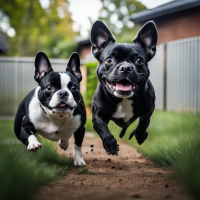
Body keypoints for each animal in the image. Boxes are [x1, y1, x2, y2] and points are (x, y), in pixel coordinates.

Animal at [90, 20, 158, 155]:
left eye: (139, 60)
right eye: (109, 60)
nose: (126, 67)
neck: (124, 99)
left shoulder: (149, 109)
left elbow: (143, 123)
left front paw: (140, 135)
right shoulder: (97, 116)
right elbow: (104, 129)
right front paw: (110, 144)